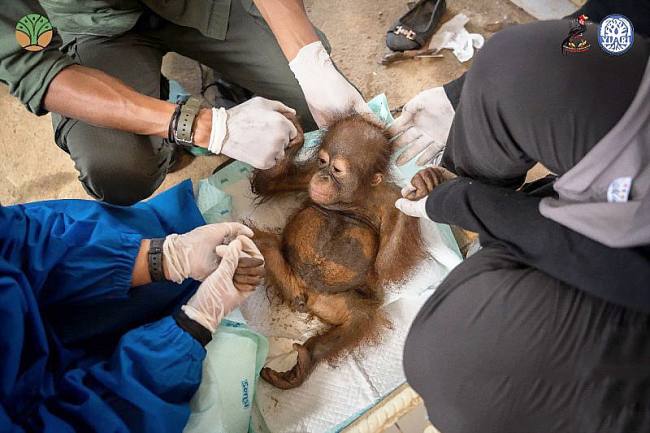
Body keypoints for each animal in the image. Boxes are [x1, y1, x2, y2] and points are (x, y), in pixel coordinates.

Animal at [250, 114, 426, 389]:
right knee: (262, 244)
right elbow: (269, 184)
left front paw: (420, 192)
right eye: (323, 162)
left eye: (337, 170)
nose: (322, 176)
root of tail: (307, 294)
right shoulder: (308, 175)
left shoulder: (389, 200)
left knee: (359, 316)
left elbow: (385, 266)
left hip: (330, 301)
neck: (353, 198)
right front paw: (294, 137)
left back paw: (305, 359)